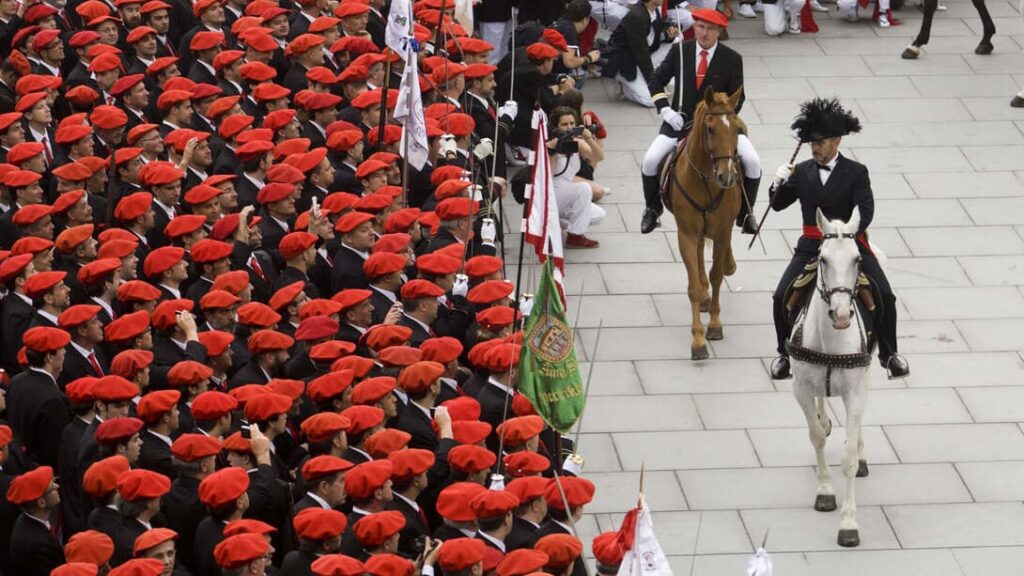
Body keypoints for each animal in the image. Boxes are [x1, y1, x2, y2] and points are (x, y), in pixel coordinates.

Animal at [667, 87, 741, 356]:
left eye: (736, 129)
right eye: (710, 129)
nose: (727, 177)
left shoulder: (722, 231)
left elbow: (717, 275)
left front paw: (715, 326)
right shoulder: (686, 233)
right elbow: (692, 287)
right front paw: (698, 341)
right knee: (699, 257)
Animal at [786, 207, 876, 545]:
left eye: (857, 259)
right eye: (822, 258)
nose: (840, 316)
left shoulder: (856, 391)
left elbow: (848, 457)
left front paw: (849, 523)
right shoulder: (799, 388)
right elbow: (815, 436)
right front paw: (825, 490)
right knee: (821, 405)